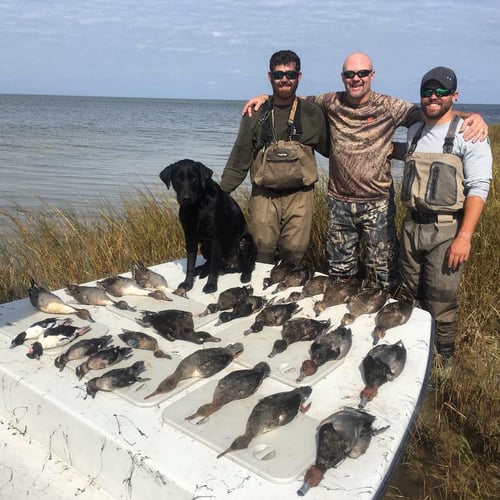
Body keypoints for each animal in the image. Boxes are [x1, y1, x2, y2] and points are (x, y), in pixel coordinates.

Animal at [159, 159, 256, 292]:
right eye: (177, 178)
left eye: (194, 178)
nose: (186, 198)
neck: (196, 208)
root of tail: (230, 265)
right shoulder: (189, 237)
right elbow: (190, 264)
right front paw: (187, 284)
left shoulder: (216, 238)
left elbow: (213, 267)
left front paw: (211, 285)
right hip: (204, 247)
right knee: (208, 262)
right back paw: (201, 269)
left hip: (245, 242)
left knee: (248, 265)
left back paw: (245, 275)